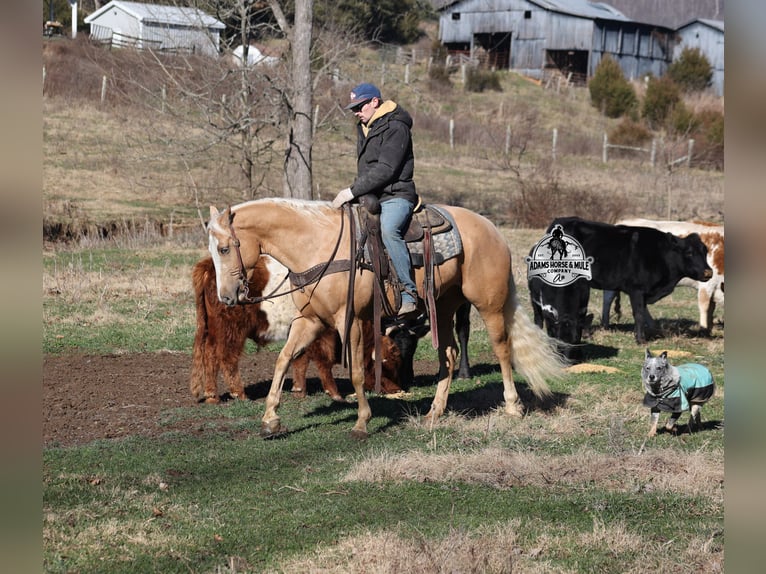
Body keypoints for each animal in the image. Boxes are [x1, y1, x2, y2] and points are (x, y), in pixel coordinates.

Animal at [190, 256, 402, 404]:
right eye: (387, 363)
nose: (397, 389)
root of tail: (208, 264)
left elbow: (300, 359)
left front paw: (299, 389)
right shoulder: (324, 334)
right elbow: (323, 362)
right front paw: (334, 393)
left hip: (214, 330)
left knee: (210, 355)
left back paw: (212, 395)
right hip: (231, 329)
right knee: (227, 358)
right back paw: (239, 393)